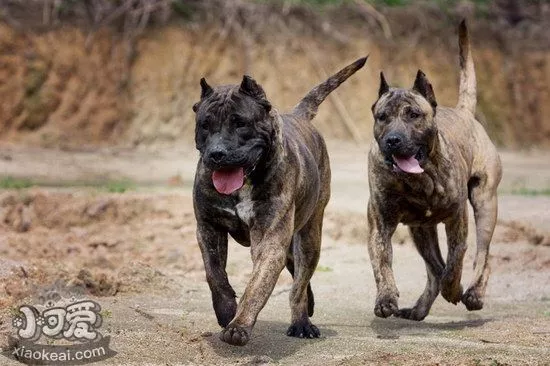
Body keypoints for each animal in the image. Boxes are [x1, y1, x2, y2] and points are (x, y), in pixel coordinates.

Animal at [368, 21, 502, 322]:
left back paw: (473, 293)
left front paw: (453, 288)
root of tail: (465, 112)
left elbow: (455, 260)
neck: (418, 179)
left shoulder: (457, 219)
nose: (393, 139)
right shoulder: (380, 224)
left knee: (483, 255)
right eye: (382, 117)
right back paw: (419, 308)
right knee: (433, 270)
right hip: (421, 231)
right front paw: (385, 298)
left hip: (485, 203)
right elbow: (383, 263)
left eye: (413, 115)